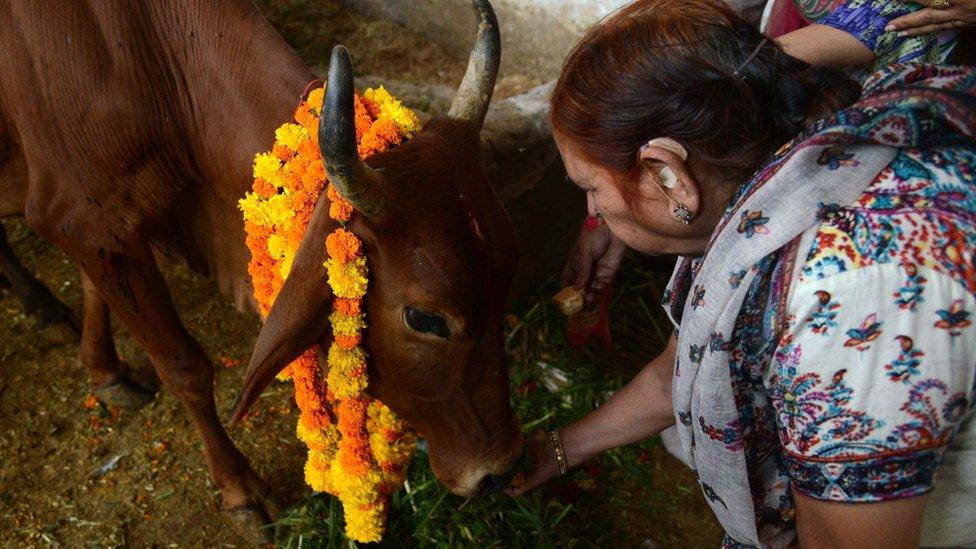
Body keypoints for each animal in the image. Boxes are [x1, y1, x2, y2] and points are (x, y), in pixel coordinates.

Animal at [0, 0, 520, 540]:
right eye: (424, 319)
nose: (500, 470)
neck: (150, 57)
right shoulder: (82, 219)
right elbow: (184, 367)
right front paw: (240, 490)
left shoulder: (97, 227)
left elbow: (92, 285)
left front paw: (104, 368)